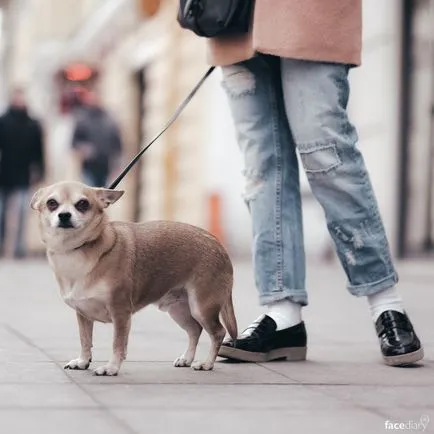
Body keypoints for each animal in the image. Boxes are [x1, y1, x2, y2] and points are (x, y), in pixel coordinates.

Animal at [31, 181, 237, 374]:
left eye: (82, 204)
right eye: (52, 203)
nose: (64, 215)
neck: (75, 251)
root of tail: (217, 244)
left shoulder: (120, 312)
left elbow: (118, 344)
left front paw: (111, 368)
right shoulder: (83, 315)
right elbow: (85, 340)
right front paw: (82, 361)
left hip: (201, 308)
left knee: (218, 332)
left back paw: (207, 363)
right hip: (179, 310)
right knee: (195, 330)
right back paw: (187, 358)